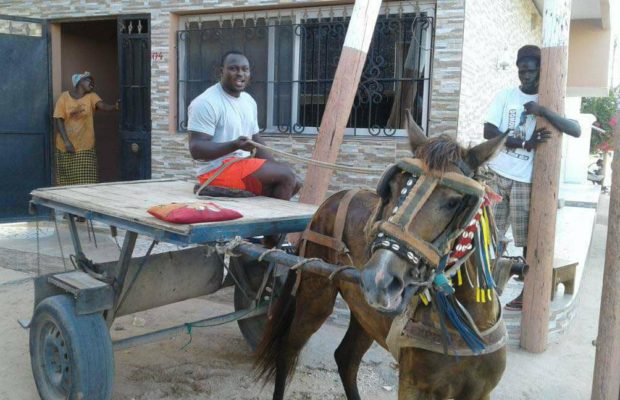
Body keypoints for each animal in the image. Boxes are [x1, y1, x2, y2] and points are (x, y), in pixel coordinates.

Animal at [254, 113, 506, 400]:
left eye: (454, 202)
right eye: (394, 187)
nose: (379, 279)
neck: (465, 326)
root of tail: (333, 199)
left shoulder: (480, 391)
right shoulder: (413, 386)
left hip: (366, 315)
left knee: (346, 359)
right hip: (315, 297)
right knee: (287, 349)